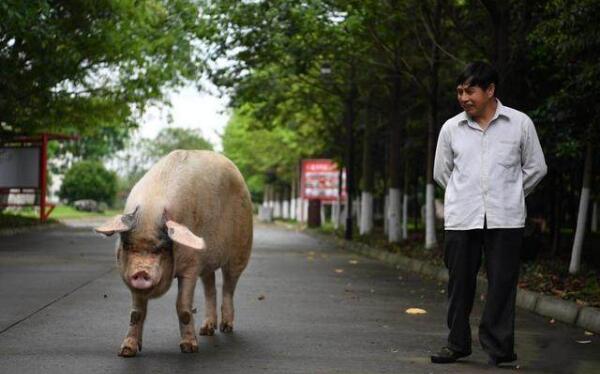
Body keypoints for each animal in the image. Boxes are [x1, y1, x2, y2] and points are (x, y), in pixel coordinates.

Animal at [95, 150, 253, 356]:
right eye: (128, 246)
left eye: (161, 248)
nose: (141, 272)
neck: (150, 211)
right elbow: (136, 313)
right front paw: (126, 351)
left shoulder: (191, 266)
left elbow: (183, 307)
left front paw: (189, 349)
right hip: (207, 263)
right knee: (210, 287)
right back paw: (206, 330)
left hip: (240, 250)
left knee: (228, 286)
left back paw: (226, 328)